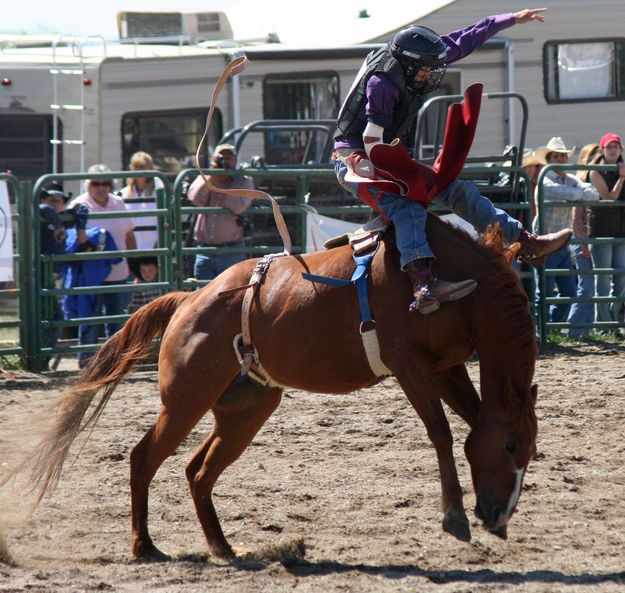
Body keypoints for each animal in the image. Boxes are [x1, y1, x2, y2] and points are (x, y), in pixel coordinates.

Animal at [17, 213, 540, 560]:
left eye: (530, 450)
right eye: (511, 446)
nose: (499, 516)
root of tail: (190, 300)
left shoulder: (447, 367)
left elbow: (472, 420)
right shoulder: (411, 365)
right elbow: (442, 431)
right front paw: (455, 518)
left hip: (246, 410)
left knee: (198, 471)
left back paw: (223, 547)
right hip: (184, 400)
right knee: (144, 457)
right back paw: (145, 546)